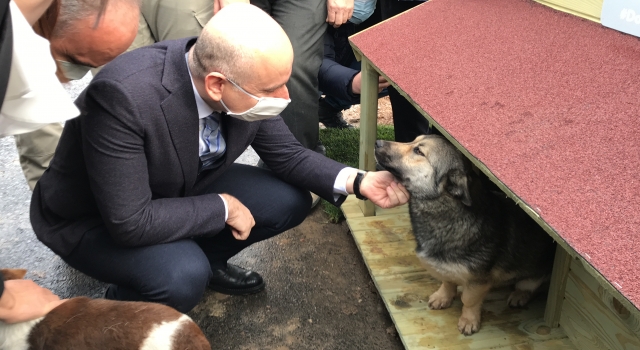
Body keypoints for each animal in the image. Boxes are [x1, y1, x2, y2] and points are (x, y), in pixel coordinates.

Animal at [376, 135, 556, 334]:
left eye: (418, 151)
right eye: (413, 141)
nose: (377, 143)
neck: (447, 213)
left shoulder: (478, 281)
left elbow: (468, 300)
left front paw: (469, 319)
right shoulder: (444, 268)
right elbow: (447, 281)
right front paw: (444, 296)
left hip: (532, 277)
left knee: (530, 287)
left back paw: (519, 295)